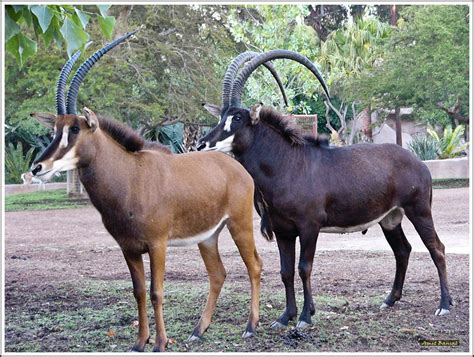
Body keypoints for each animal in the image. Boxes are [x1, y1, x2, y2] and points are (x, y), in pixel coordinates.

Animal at [29, 32, 262, 352]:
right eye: (55, 129)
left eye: (75, 129)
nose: (38, 167)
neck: (130, 177)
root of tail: (236, 167)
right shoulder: (128, 248)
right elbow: (138, 291)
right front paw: (140, 341)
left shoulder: (157, 244)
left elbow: (156, 291)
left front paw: (160, 342)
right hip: (208, 236)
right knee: (218, 273)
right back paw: (198, 330)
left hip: (239, 224)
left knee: (254, 266)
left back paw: (250, 327)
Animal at [196, 49, 452, 328]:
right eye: (221, 115)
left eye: (238, 118)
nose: (202, 144)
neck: (288, 164)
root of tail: (420, 163)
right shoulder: (284, 231)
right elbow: (286, 271)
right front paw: (285, 317)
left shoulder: (309, 226)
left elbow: (304, 268)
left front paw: (305, 317)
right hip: (390, 219)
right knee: (402, 250)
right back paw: (389, 300)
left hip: (418, 210)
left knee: (437, 248)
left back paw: (444, 305)